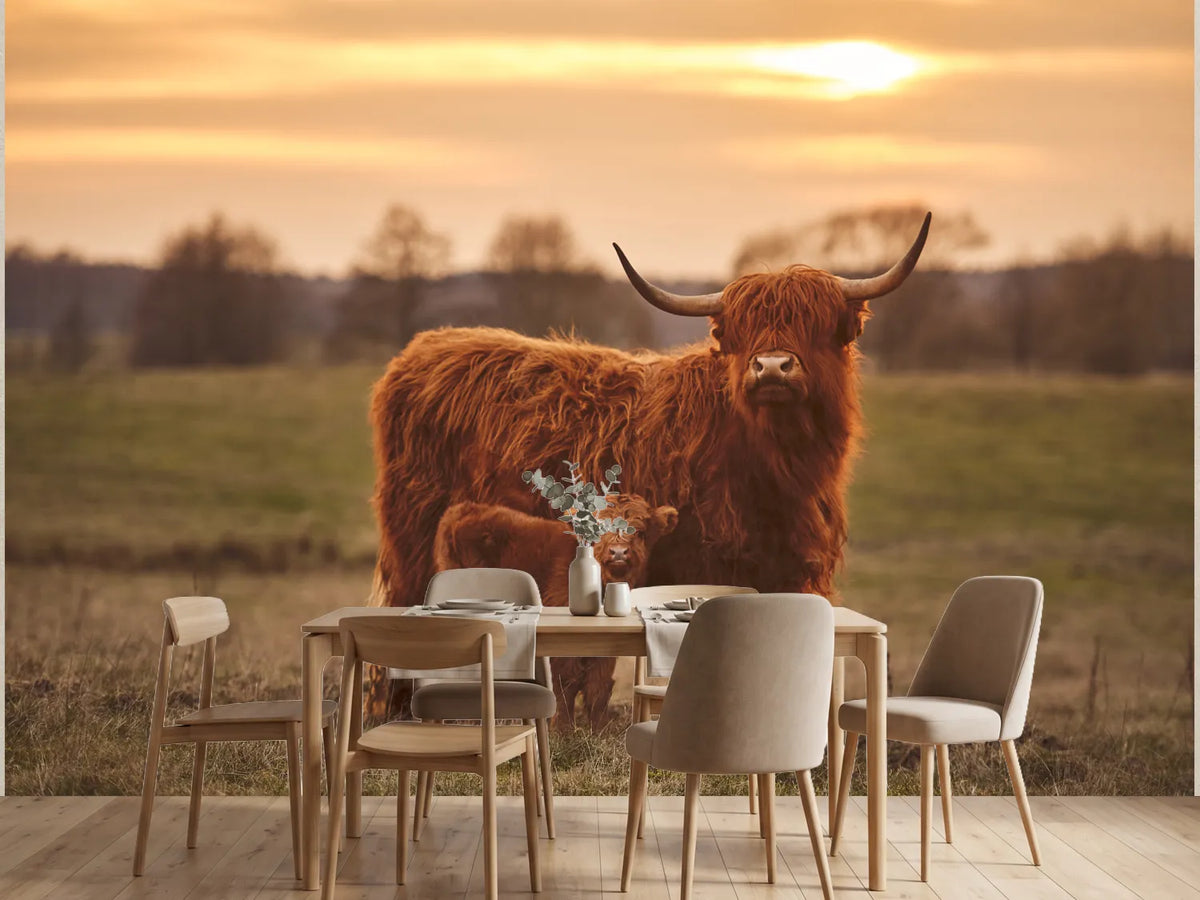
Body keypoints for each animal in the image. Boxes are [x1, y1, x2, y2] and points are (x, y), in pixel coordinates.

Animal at [430, 495, 677, 730]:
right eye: (597, 530)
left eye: (640, 532)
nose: (618, 552)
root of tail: (464, 508)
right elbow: (566, 683)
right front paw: (563, 729)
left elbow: (598, 685)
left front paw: (599, 729)